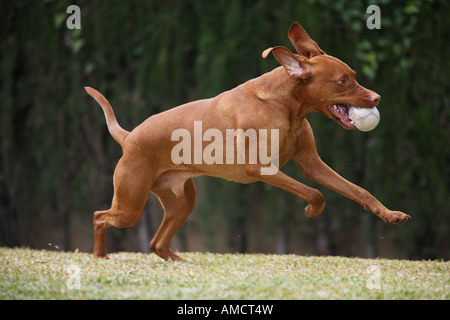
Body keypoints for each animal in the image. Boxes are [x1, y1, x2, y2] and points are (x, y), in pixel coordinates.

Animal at [85, 23, 412, 262]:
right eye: (343, 81)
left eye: (354, 75)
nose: (376, 98)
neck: (285, 105)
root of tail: (129, 136)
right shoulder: (262, 169)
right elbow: (315, 193)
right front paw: (312, 211)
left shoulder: (312, 164)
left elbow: (359, 191)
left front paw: (390, 214)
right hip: (131, 205)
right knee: (100, 217)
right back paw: (101, 256)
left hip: (181, 201)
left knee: (156, 243)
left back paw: (180, 264)